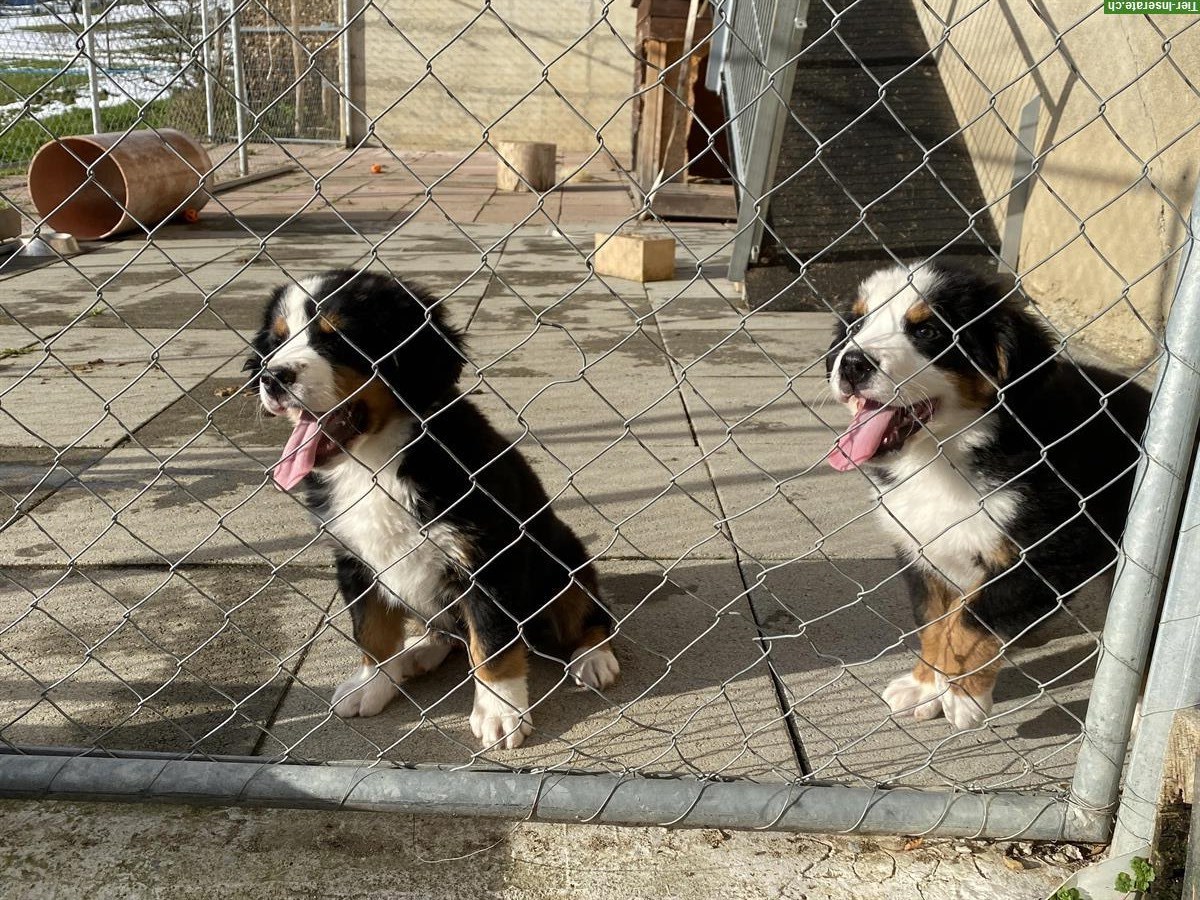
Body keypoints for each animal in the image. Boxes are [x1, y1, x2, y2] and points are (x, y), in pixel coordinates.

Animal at [243, 271, 619, 748]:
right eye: (276, 342)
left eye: (338, 338)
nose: (272, 376)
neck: (376, 461)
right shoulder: (354, 558)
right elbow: (371, 631)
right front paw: (371, 685)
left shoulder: (488, 558)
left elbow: (491, 642)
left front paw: (500, 711)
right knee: (447, 631)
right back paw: (419, 651)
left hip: (565, 558)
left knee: (589, 611)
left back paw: (593, 657)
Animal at [825, 264, 1152, 729]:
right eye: (856, 325)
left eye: (927, 331)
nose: (852, 362)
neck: (944, 456)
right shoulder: (921, 548)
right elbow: (934, 621)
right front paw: (925, 687)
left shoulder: (1052, 550)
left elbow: (973, 620)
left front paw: (963, 698)